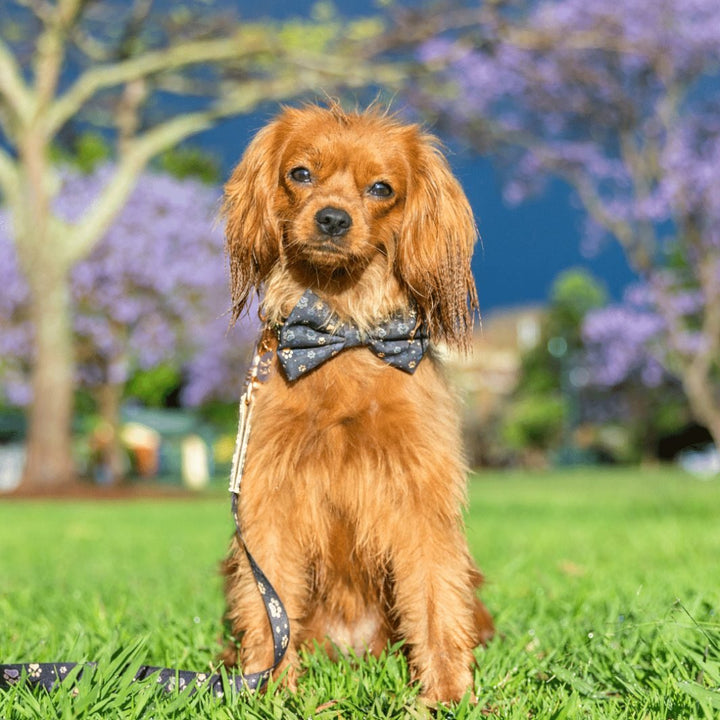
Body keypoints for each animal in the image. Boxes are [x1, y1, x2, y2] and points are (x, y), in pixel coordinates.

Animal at [219, 102, 496, 704]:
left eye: (381, 188)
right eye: (300, 174)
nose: (332, 219)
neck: (341, 329)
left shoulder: (421, 500)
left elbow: (436, 605)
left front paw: (446, 697)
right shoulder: (269, 501)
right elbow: (269, 606)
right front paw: (271, 688)